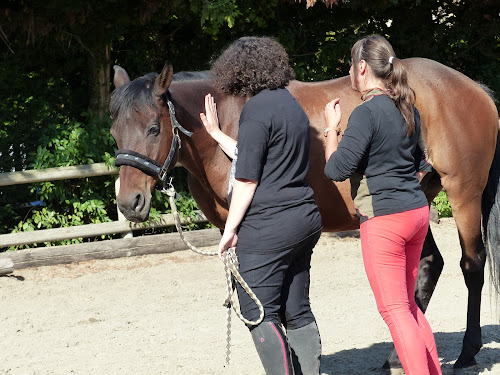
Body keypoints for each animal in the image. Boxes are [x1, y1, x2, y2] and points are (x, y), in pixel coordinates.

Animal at [110, 57, 500, 374]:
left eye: (153, 128)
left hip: (463, 194)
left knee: (472, 265)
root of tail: (473, 88)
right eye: (115, 131)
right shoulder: (231, 231)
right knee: (429, 266)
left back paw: (467, 353)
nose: (129, 203)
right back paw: (396, 358)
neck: (226, 123)